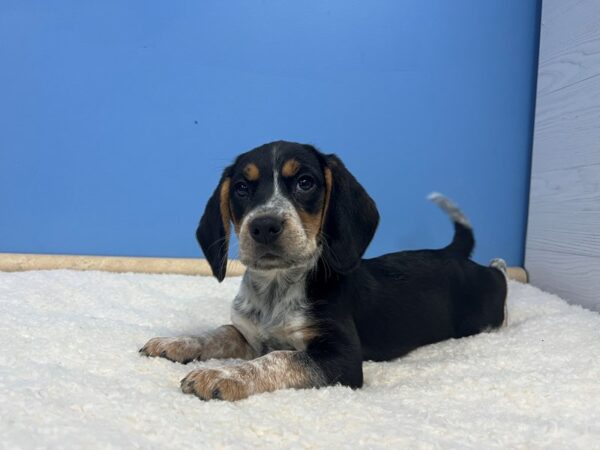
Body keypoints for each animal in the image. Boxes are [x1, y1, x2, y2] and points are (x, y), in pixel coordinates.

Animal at [139, 140, 506, 400]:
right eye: (242, 188)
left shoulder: (341, 358)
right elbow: (218, 333)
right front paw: (176, 342)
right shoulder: (249, 336)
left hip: (483, 315)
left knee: (499, 284)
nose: (264, 226)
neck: (276, 288)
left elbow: (278, 358)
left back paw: (500, 265)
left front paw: (222, 375)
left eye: (305, 183)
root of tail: (451, 252)